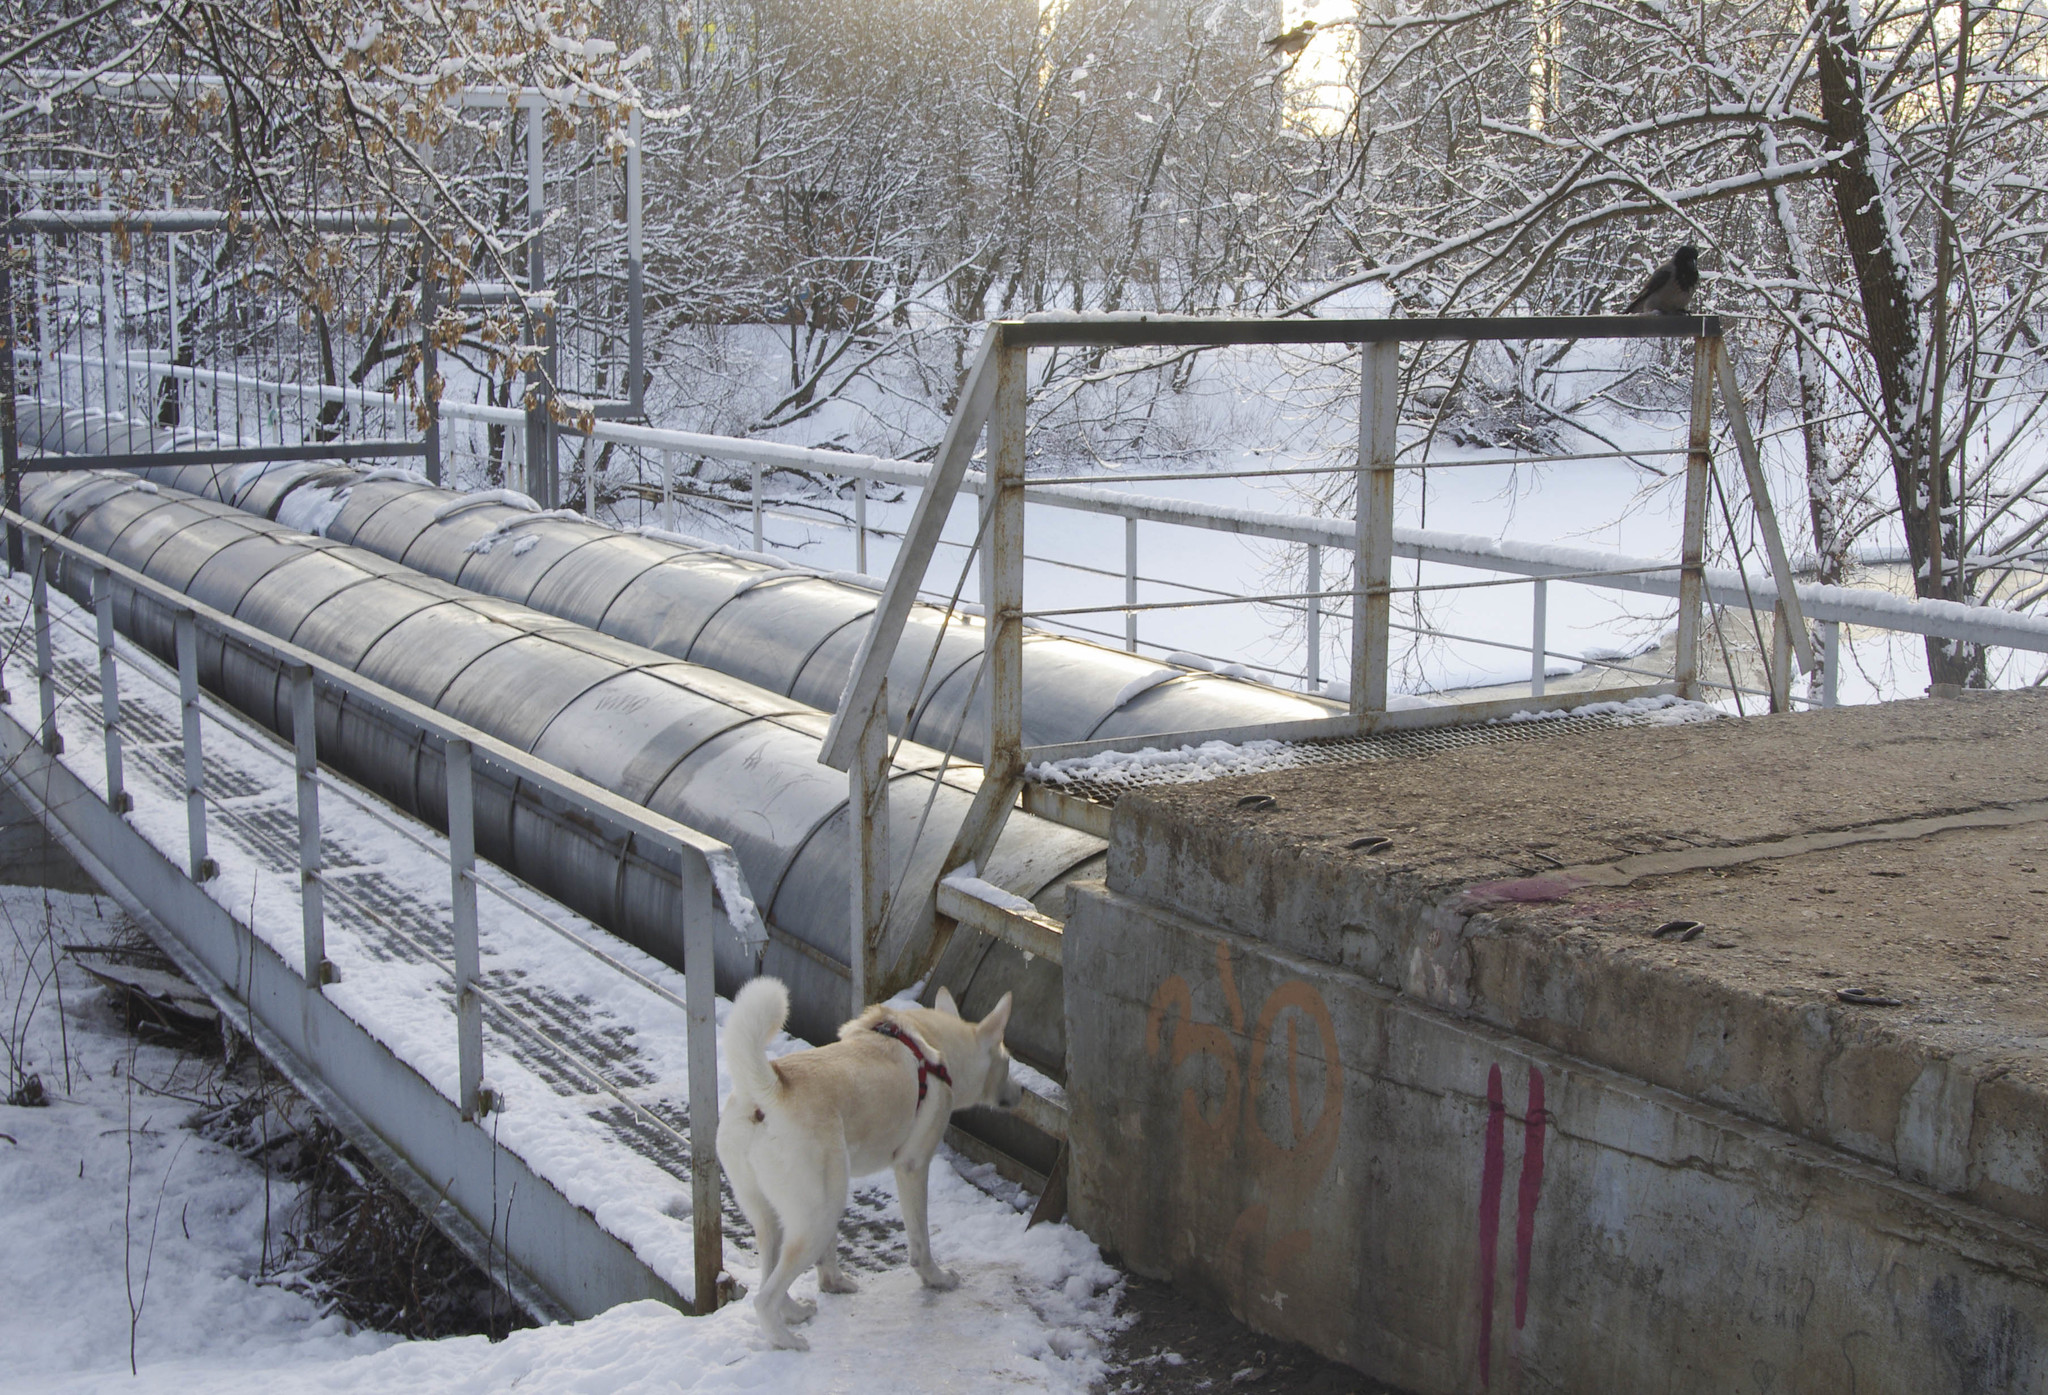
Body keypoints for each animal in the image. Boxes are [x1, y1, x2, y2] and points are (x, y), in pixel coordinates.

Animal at [716, 975, 1019, 1343]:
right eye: (1008, 1062)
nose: (1020, 1093)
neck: (935, 1048)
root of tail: (768, 1092)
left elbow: (827, 1261)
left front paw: (832, 1284)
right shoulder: (912, 1166)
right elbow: (921, 1241)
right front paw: (936, 1278)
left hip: (779, 1213)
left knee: (769, 1274)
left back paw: (796, 1312)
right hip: (819, 1213)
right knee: (763, 1298)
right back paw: (787, 1341)